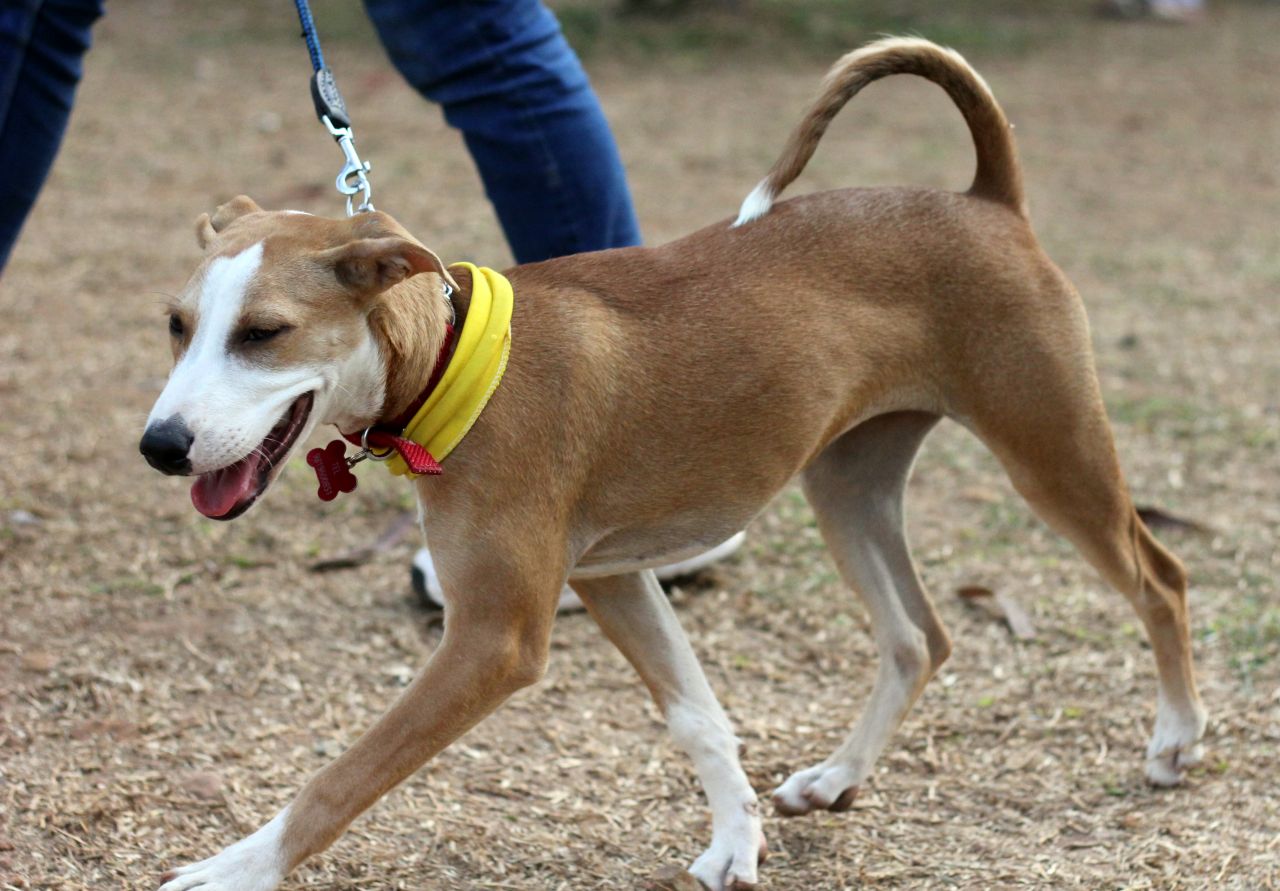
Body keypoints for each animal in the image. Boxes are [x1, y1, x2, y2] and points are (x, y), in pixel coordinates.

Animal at [145, 38, 1203, 891]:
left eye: (263, 333)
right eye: (177, 325)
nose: (160, 446)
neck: (451, 363)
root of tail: (989, 197)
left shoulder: (493, 638)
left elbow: (345, 774)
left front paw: (237, 867)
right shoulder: (611, 576)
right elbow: (698, 716)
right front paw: (736, 841)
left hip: (1050, 451)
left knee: (1160, 576)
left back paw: (1174, 741)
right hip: (847, 485)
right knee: (918, 637)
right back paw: (838, 776)